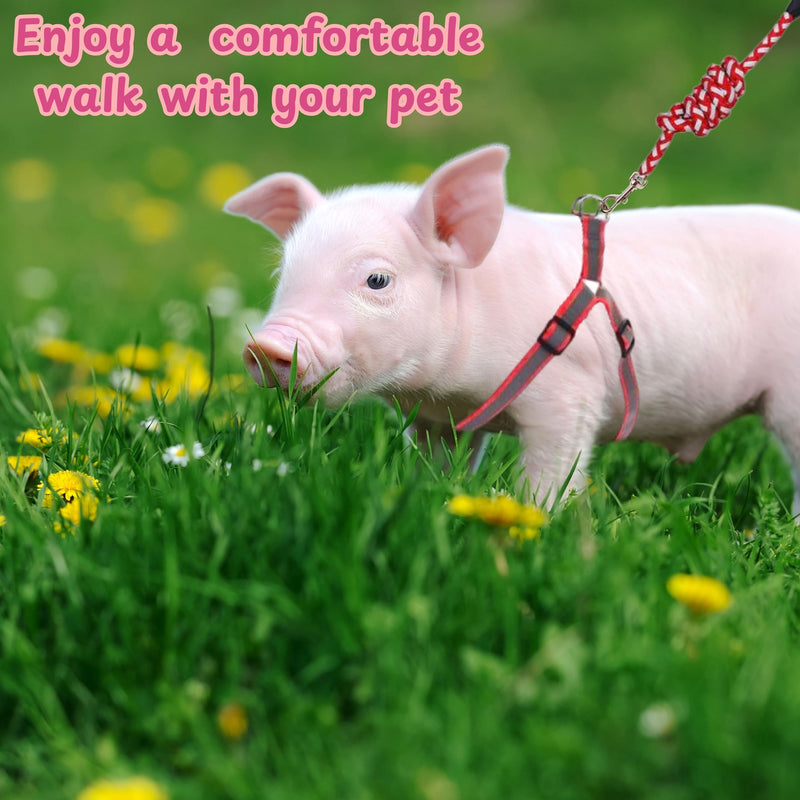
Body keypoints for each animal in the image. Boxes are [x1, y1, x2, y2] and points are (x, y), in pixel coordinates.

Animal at [225, 145, 800, 511]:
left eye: (377, 279)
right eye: (284, 272)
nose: (267, 345)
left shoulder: (570, 392)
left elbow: (549, 474)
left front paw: (535, 523)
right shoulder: (435, 418)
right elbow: (439, 462)